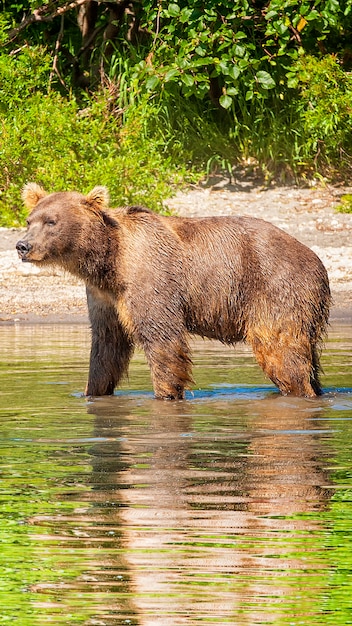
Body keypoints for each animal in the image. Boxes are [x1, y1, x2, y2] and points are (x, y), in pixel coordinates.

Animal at [16, 183, 330, 398]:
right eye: (30, 220)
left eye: (51, 221)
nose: (22, 246)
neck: (108, 261)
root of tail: (317, 260)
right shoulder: (104, 297)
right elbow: (106, 347)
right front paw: (91, 391)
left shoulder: (150, 278)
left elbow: (163, 339)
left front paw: (166, 393)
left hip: (276, 288)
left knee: (280, 350)